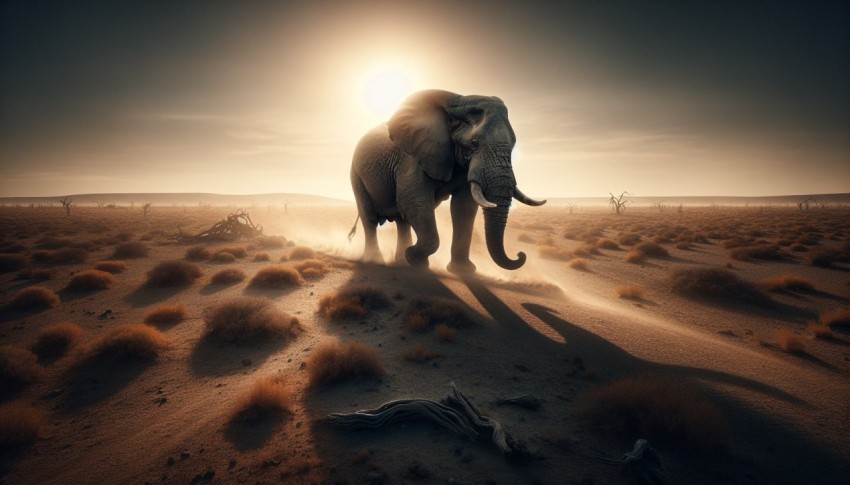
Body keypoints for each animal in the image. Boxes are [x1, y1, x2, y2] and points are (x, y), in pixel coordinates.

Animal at [349, 89, 546, 274]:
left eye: (513, 144)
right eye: (474, 143)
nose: (520, 254)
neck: (457, 103)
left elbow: (464, 207)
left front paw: (462, 271)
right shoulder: (411, 158)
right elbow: (414, 204)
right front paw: (416, 260)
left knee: (401, 221)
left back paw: (400, 261)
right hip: (356, 175)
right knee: (370, 219)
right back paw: (375, 259)